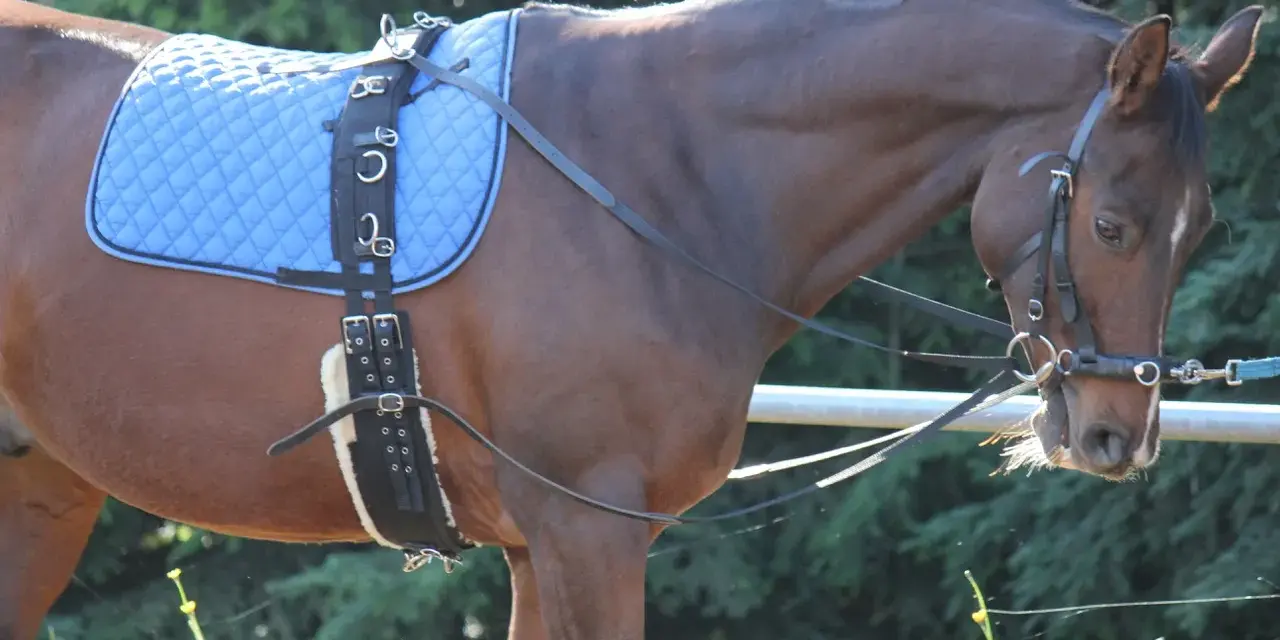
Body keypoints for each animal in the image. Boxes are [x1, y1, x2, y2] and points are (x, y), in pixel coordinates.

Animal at [0, 0, 1263, 637]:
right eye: (1110, 222)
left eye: (1195, 225)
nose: (1113, 435)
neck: (653, 171)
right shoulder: (585, 533)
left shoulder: (544, 548)